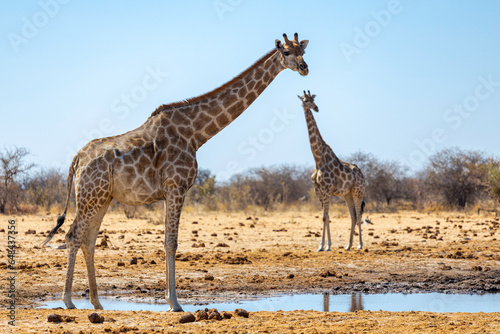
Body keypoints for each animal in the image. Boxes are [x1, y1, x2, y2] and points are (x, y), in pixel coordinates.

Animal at [42, 32, 308, 312]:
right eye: (287, 52)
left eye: (303, 51)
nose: (304, 68)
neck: (196, 134)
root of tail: (77, 159)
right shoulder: (176, 187)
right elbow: (172, 241)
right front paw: (175, 302)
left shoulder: (171, 191)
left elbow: (168, 240)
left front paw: (170, 300)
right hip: (90, 195)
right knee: (73, 236)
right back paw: (68, 300)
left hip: (102, 197)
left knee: (88, 239)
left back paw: (96, 302)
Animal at [298, 90, 366, 252]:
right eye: (304, 100)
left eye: (313, 99)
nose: (316, 108)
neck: (318, 158)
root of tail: (362, 174)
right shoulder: (318, 190)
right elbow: (325, 217)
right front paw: (323, 245)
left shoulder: (326, 189)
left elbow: (326, 216)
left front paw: (326, 245)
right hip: (347, 194)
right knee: (353, 215)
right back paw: (348, 245)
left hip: (358, 191)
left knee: (359, 214)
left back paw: (360, 244)